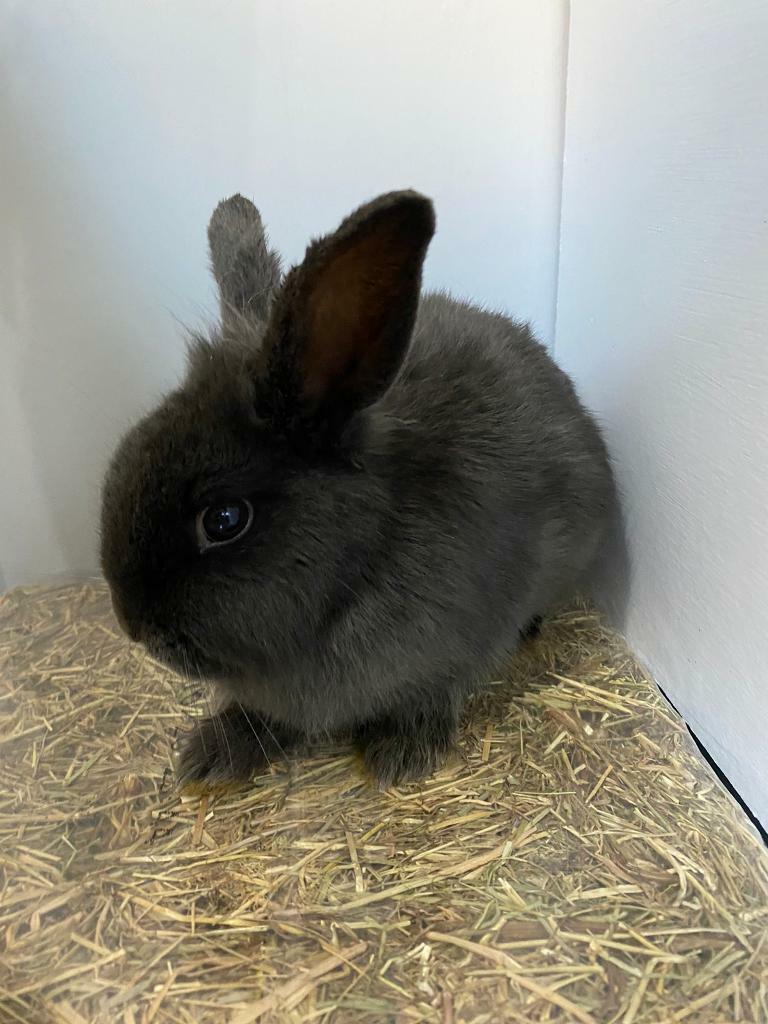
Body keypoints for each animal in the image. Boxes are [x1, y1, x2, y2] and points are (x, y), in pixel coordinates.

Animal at [100, 189, 617, 789]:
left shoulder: (459, 653)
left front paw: (401, 753)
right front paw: (211, 754)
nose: (133, 626)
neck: (354, 574)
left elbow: (433, 695)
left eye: (224, 520)